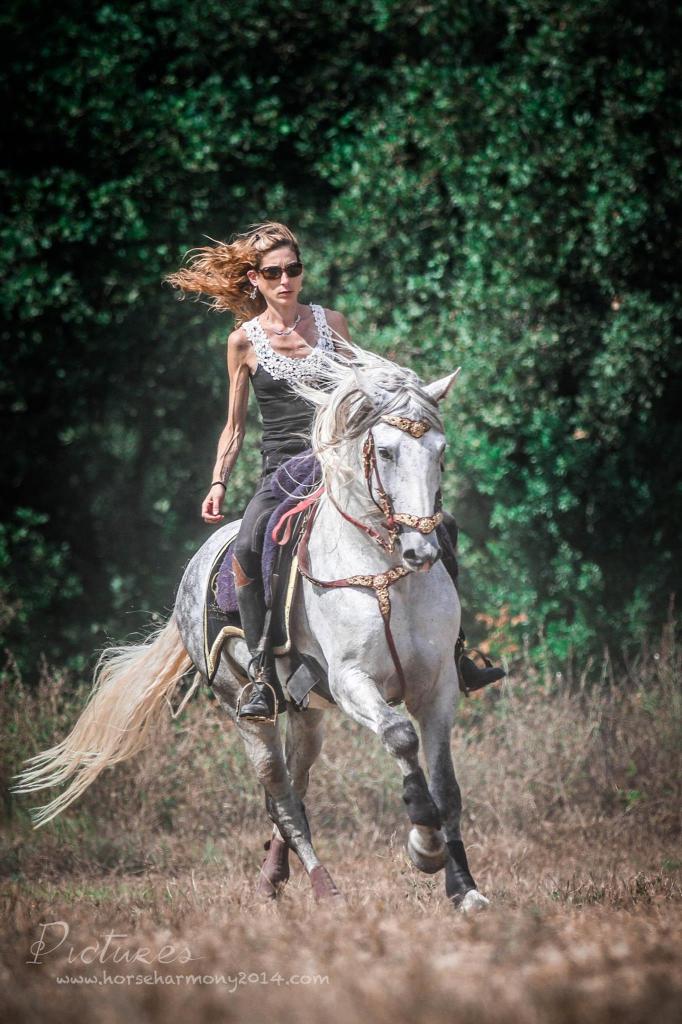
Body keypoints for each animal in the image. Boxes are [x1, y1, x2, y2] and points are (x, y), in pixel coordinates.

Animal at [11, 348, 489, 909]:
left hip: (307, 712)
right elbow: (399, 737)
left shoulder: (436, 686)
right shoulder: (353, 681)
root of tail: (197, 566)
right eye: (388, 452)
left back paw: (275, 876)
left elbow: (447, 787)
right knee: (280, 795)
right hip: (243, 707)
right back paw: (322, 888)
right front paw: (424, 847)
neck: (383, 573)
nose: (421, 551)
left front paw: (464, 889)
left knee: (296, 788)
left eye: (440, 451)